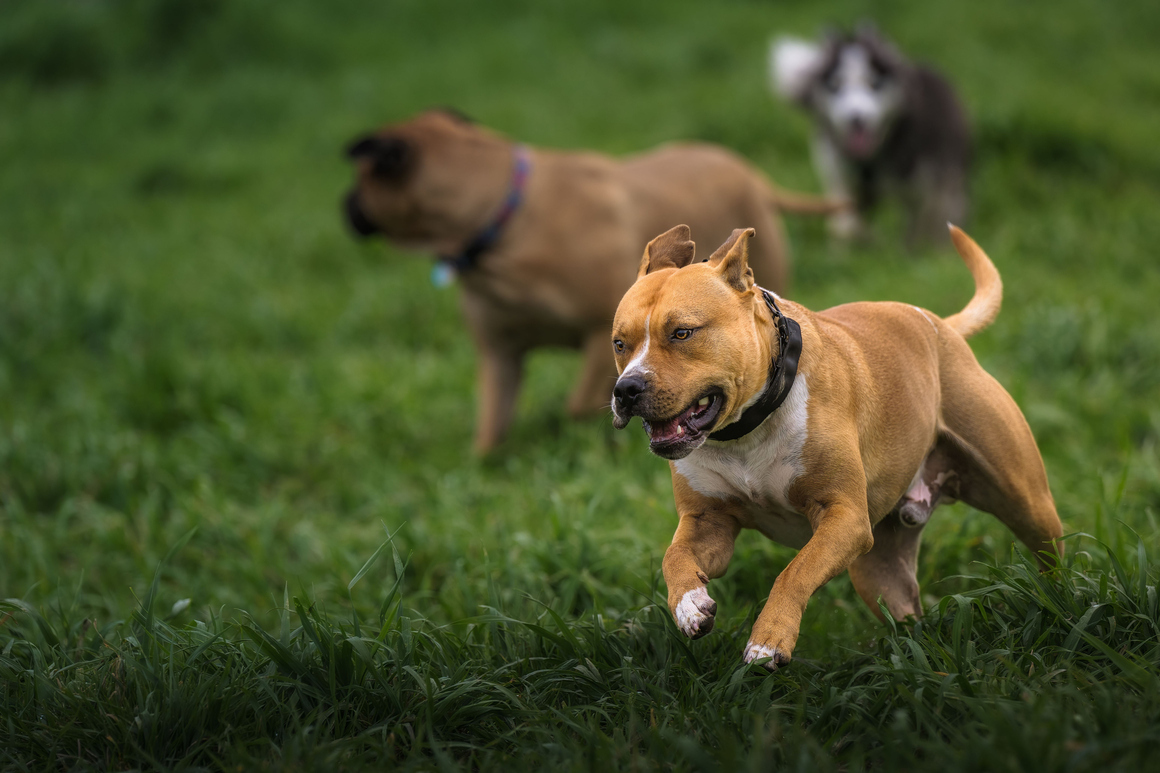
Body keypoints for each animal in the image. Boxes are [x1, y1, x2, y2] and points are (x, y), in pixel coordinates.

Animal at [338, 111, 839, 454]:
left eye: (361, 179)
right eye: (622, 341)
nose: (344, 204)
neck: (505, 216)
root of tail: (752, 175)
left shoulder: (595, 336)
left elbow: (579, 405)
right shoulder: (500, 354)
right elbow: (490, 430)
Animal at [612, 224, 1062, 668]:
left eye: (682, 333)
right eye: (619, 343)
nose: (626, 389)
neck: (745, 433)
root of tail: (940, 325)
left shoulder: (843, 517)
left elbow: (795, 571)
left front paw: (769, 640)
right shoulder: (708, 523)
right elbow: (674, 557)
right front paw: (689, 605)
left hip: (1024, 500)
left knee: (1048, 551)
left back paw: (1057, 605)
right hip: (879, 567)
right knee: (907, 612)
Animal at [774, 27, 974, 243]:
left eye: (874, 84)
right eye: (835, 85)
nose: (855, 119)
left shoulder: (934, 186)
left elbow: (929, 226)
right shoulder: (840, 177)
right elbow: (848, 223)